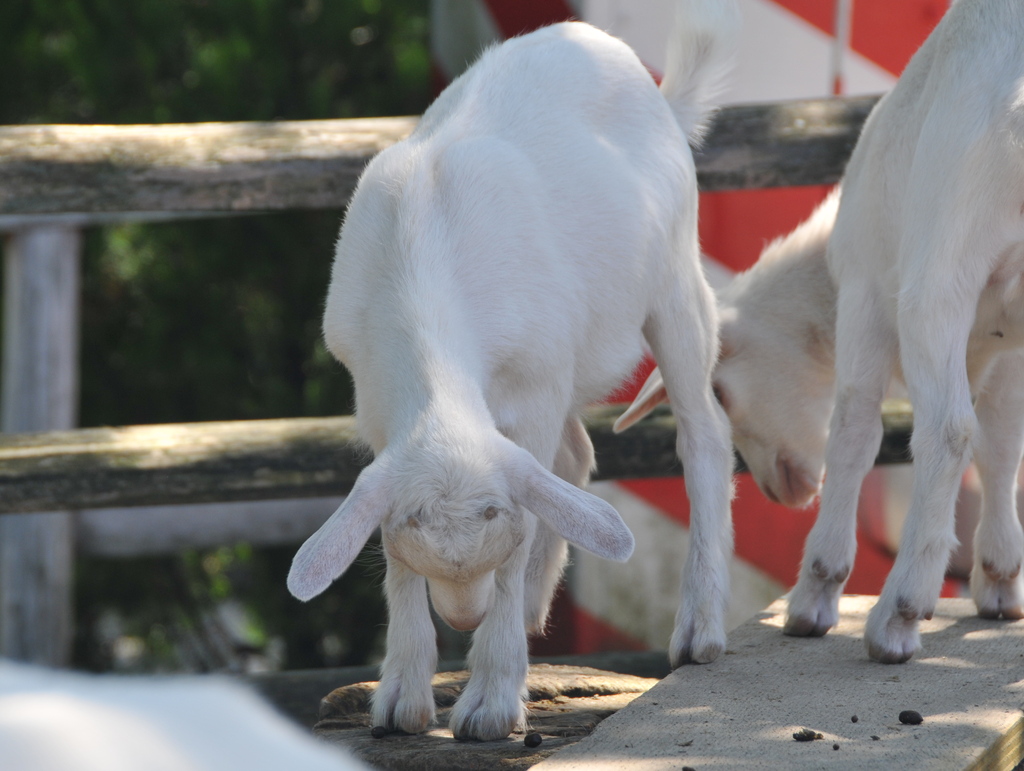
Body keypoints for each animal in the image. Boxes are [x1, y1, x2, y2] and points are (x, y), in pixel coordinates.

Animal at [284, 0, 741, 741]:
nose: (464, 617)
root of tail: (664, 100)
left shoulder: (534, 388)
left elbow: (530, 517)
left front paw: (492, 700)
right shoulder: (377, 406)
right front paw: (402, 697)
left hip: (677, 278)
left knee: (704, 433)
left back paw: (698, 629)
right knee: (577, 454)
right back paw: (532, 609)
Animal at [618, 0, 1024, 663]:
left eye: (721, 390)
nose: (778, 493)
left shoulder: (863, 298)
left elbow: (855, 432)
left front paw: (817, 589)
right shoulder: (1004, 338)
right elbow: (1002, 446)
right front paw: (999, 579)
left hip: (941, 268)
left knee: (946, 432)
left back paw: (898, 613)